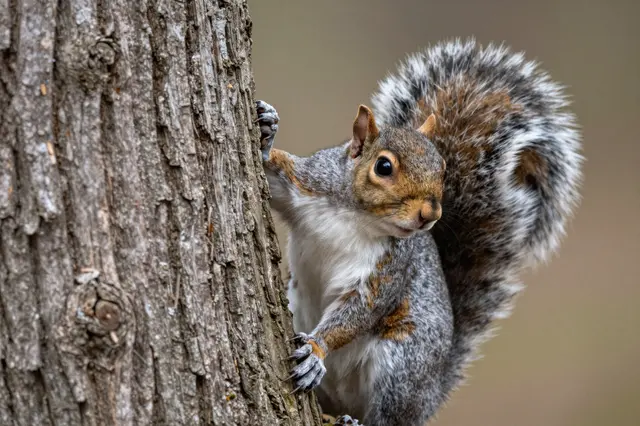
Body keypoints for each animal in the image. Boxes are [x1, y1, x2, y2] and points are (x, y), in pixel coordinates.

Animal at [255, 39, 582, 426]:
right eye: (383, 166)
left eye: (442, 169)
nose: (431, 214)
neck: (356, 216)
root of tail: (433, 394)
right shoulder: (307, 184)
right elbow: (276, 177)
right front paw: (266, 128)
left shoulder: (388, 269)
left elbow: (359, 312)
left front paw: (315, 351)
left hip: (401, 365)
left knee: (389, 417)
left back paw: (354, 420)